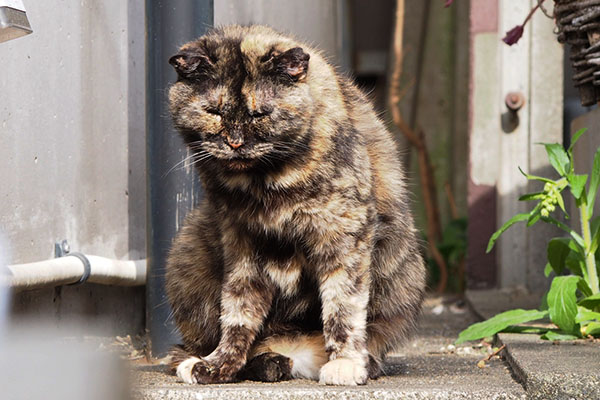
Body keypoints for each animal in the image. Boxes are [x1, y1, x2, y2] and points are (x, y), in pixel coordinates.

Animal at [165, 25, 426, 388]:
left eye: (261, 112)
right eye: (213, 111)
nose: (235, 143)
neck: (264, 187)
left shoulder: (345, 233)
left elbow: (343, 305)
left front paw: (345, 364)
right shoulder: (240, 240)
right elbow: (237, 309)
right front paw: (219, 365)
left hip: (406, 270)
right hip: (186, 248)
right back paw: (260, 362)